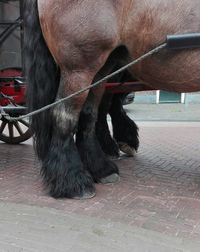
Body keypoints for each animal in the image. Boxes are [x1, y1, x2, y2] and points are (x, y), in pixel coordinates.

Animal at [24, 0, 200, 199]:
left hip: (103, 69)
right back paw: (72, 180)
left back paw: (101, 169)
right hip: (78, 70)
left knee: (89, 115)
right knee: (64, 116)